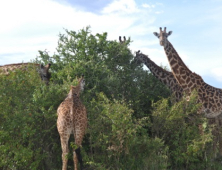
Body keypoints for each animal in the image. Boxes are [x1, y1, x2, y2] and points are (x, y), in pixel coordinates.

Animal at [153, 26, 222, 157]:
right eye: (158, 35)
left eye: (166, 35)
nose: (162, 42)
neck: (187, 85)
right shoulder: (193, 113)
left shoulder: (199, 112)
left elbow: (200, 135)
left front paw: (200, 155)